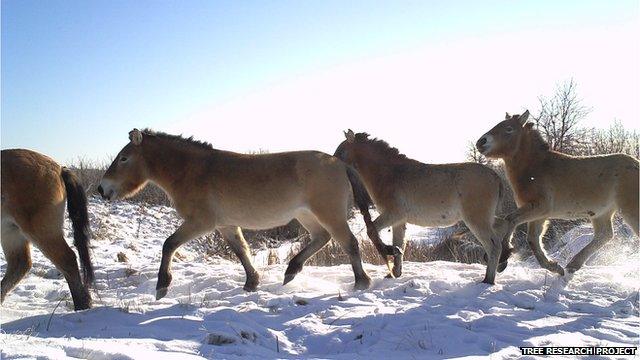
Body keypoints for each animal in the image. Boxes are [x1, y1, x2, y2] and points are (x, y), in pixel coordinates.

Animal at [99, 128, 376, 300]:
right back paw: (291, 271)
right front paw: (252, 282)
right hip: (307, 215)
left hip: (329, 214)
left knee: (349, 242)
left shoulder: (200, 223)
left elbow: (169, 244)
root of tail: (340, 163)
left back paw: (361, 282)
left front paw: (162, 286)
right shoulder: (226, 225)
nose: (102, 189)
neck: (193, 171)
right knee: (322, 238)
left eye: (123, 158)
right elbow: (241, 251)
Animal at [336, 129, 510, 284]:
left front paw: (389, 253)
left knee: (493, 245)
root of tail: (496, 177)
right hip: (484, 219)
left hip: (476, 219)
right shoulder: (399, 221)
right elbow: (400, 243)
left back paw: (488, 280)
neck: (390, 174)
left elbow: (372, 231)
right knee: (502, 230)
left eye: (340, 152)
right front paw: (396, 272)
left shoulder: (392, 214)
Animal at [478, 110, 636, 276]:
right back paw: (573, 265)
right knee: (605, 235)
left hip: (629, 209)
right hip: (601, 213)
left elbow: (511, 220)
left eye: (509, 129)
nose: (481, 142)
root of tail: (635, 163)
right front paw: (553, 267)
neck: (535, 167)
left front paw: (504, 255)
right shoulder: (539, 215)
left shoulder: (540, 207)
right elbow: (532, 239)